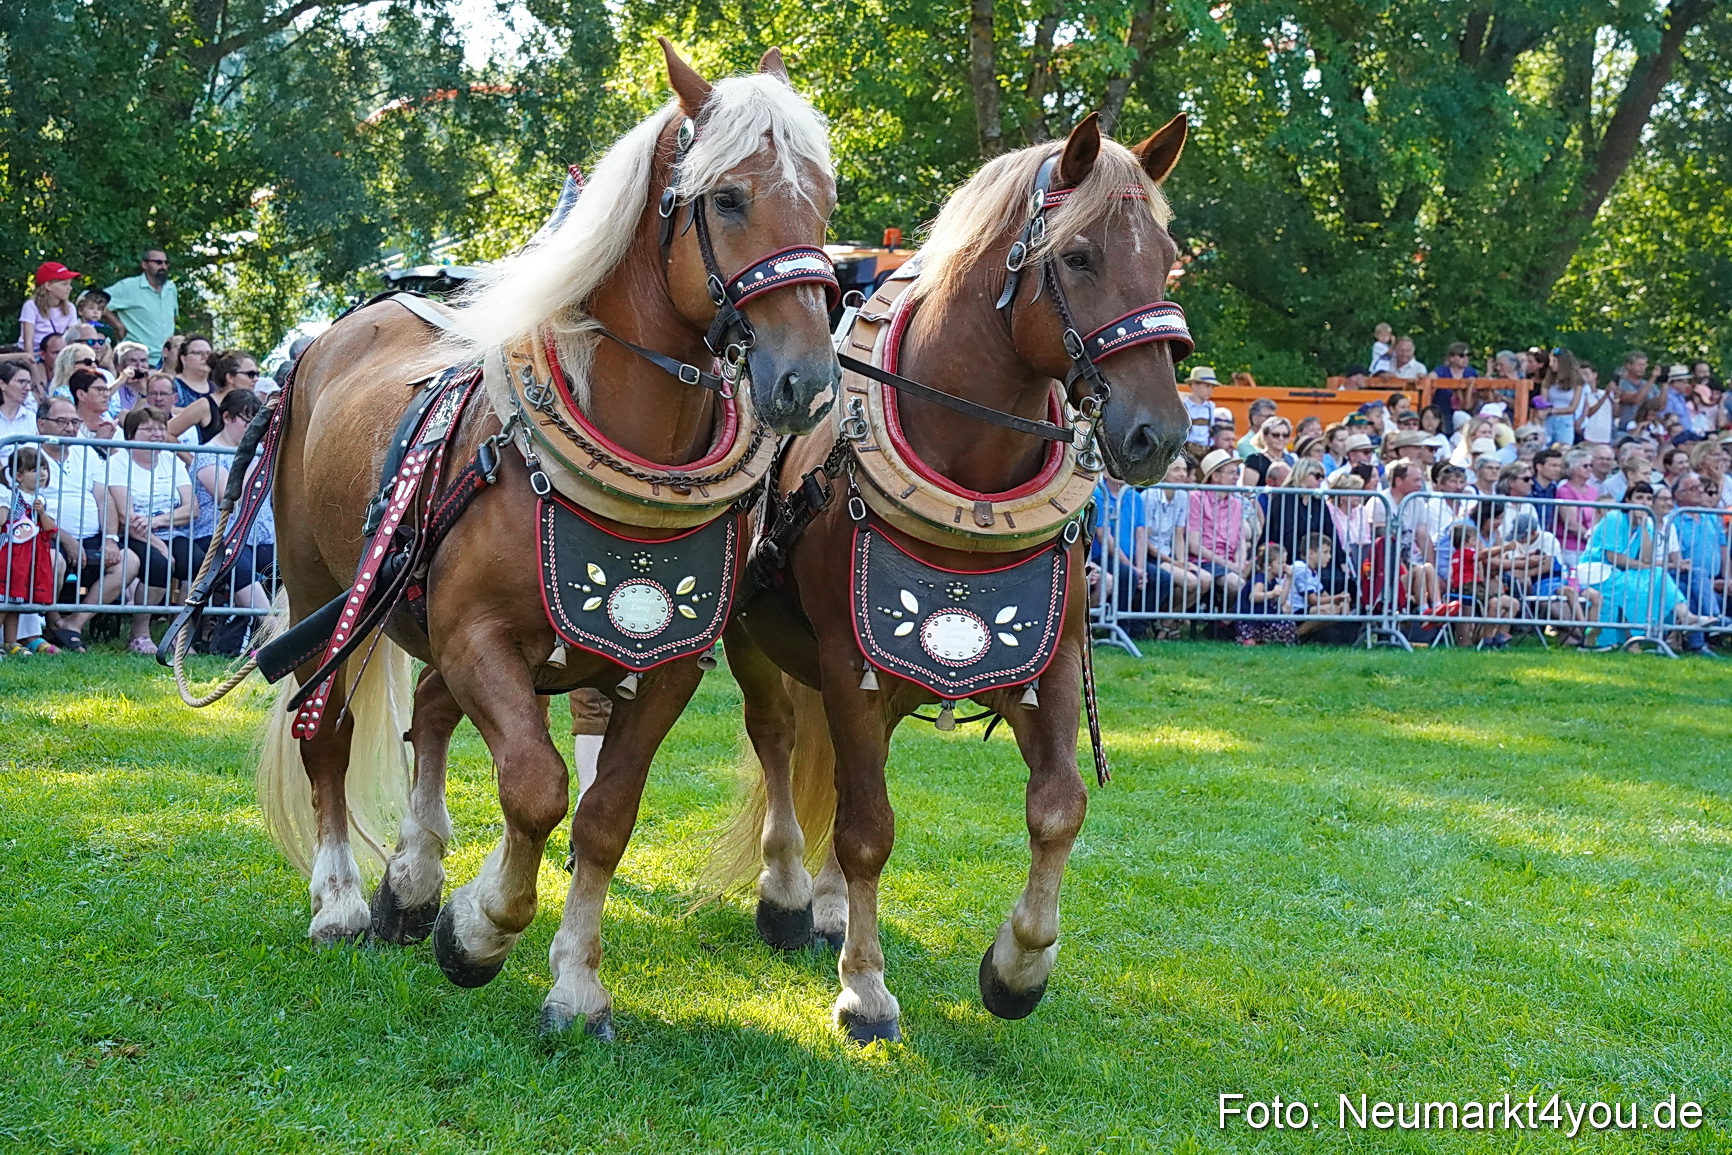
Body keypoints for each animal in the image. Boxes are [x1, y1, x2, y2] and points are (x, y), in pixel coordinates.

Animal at [255, 40, 840, 1038]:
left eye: (826, 201)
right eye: (728, 198)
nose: (804, 381)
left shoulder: (667, 666)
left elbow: (604, 812)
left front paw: (574, 983)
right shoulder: (477, 637)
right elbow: (535, 786)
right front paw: (480, 929)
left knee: (431, 715)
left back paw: (409, 880)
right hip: (319, 587)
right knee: (327, 731)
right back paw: (339, 899)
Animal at [708, 111, 1192, 1043]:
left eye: (1166, 255)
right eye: (1081, 257)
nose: (1158, 432)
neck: (966, 460)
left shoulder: (1047, 655)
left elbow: (1059, 805)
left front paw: (1018, 966)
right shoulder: (848, 664)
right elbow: (867, 829)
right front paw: (864, 988)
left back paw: (829, 906)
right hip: (762, 641)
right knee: (779, 740)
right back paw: (787, 893)